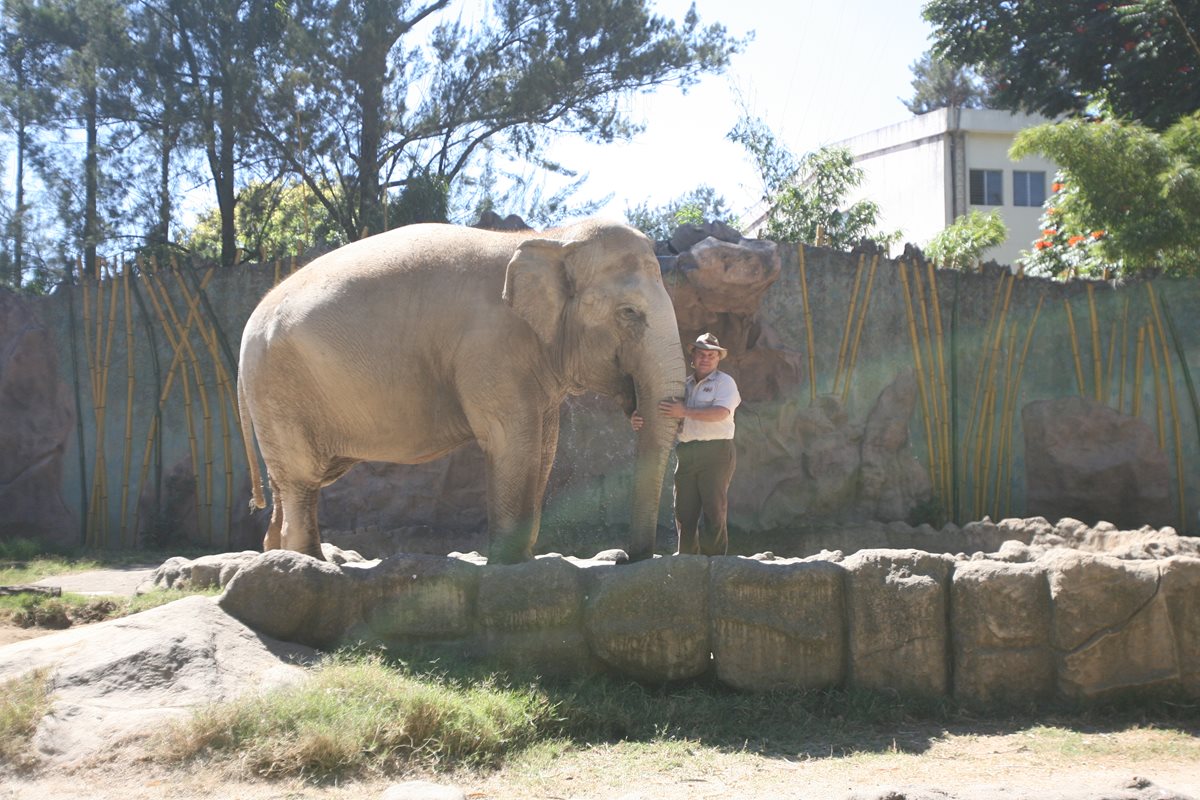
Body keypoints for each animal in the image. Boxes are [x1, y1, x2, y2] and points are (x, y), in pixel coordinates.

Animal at [235, 220, 691, 563]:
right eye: (629, 313)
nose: (624, 558)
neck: (552, 236)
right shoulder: (490, 348)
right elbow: (514, 442)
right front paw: (508, 566)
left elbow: (544, 447)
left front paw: (523, 560)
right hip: (280, 387)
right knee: (302, 480)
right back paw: (311, 563)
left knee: (288, 483)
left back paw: (277, 555)